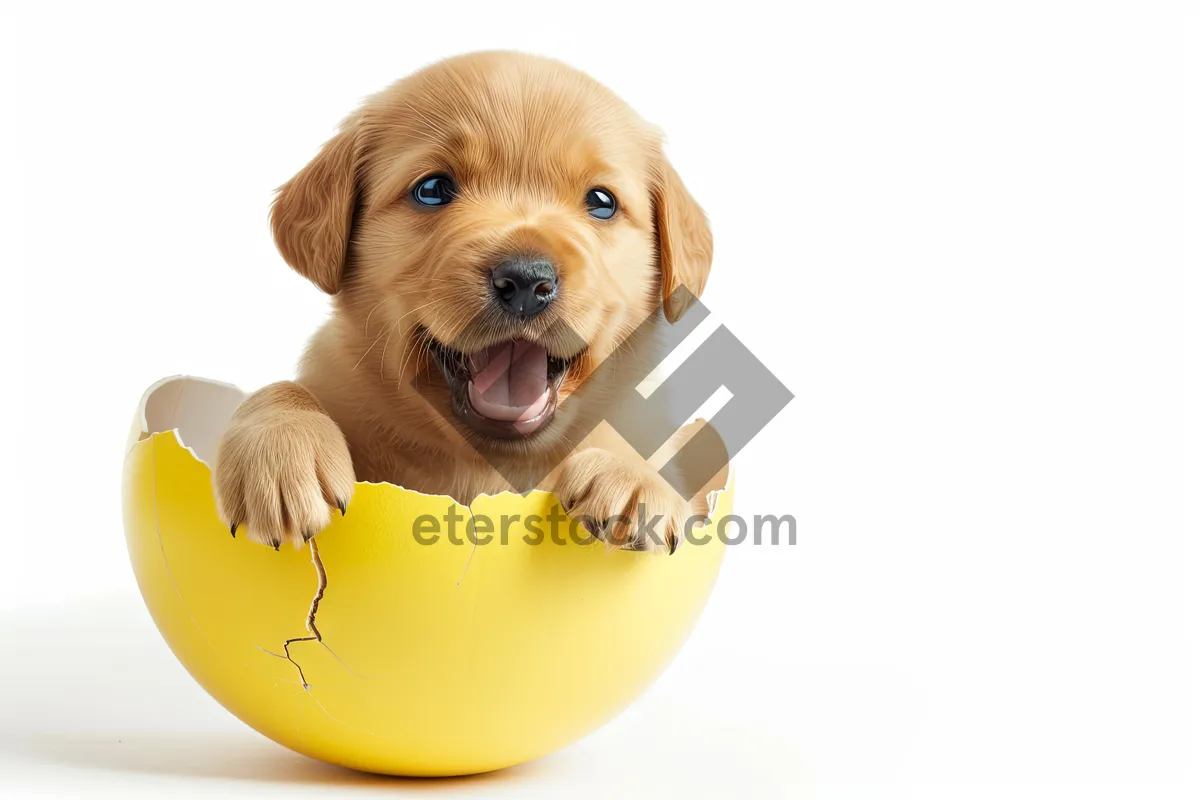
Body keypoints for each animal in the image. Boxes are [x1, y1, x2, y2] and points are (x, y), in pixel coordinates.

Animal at [213, 51, 710, 556]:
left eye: (602, 202)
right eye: (432, 190)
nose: (526, 280)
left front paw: (634, 478)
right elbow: (283, 389)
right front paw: (279, 454)